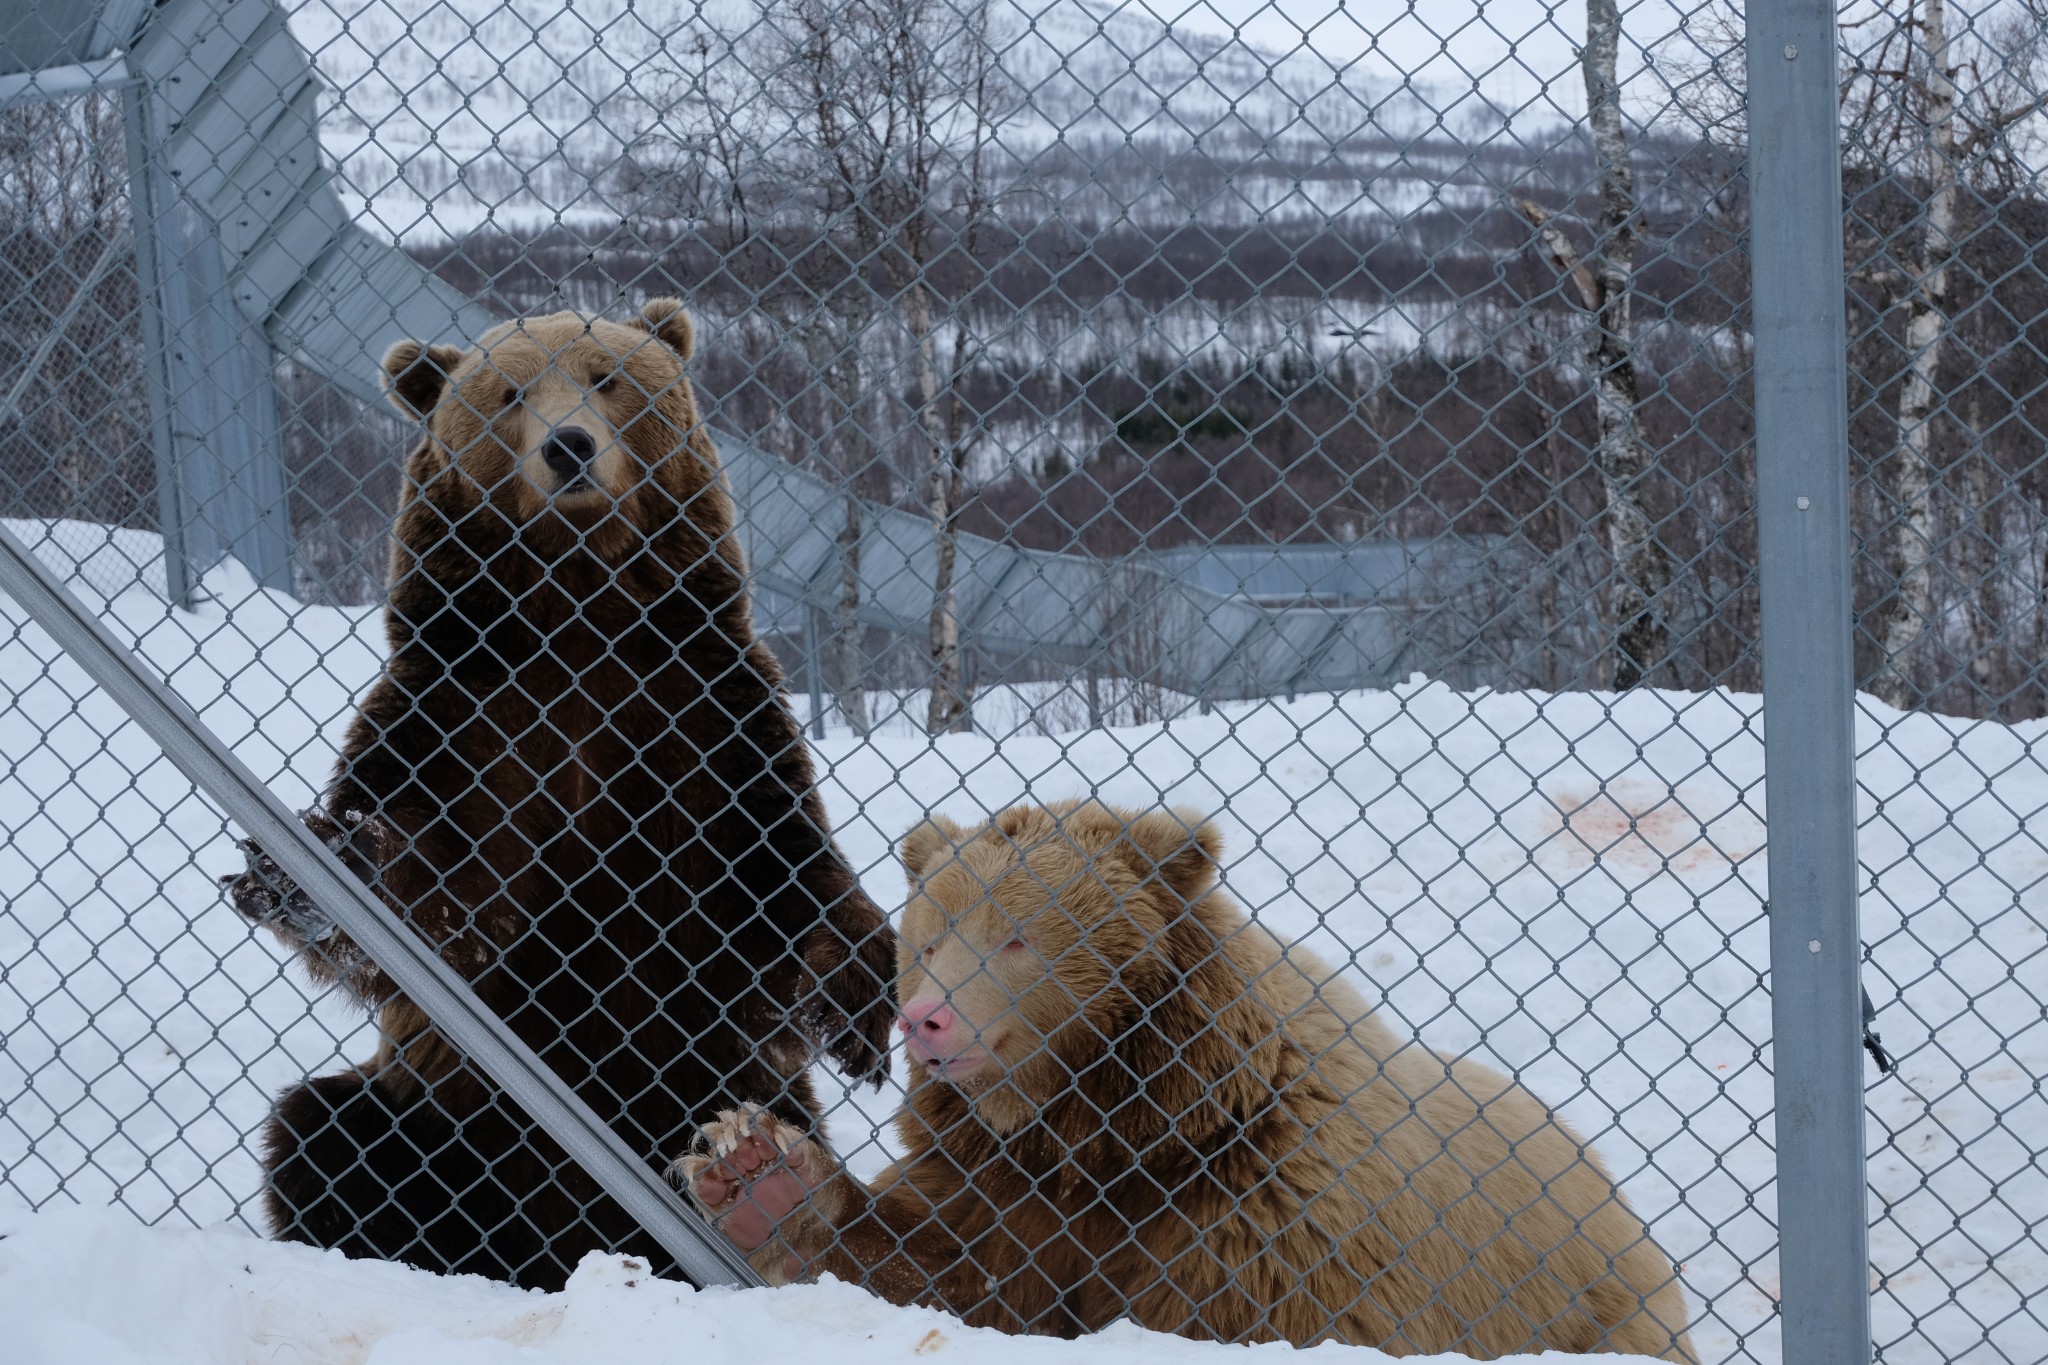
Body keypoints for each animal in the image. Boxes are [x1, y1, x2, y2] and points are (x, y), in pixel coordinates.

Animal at [226, 296, 897, 1293]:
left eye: (604, 378)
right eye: (510, 394)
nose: (568, 445)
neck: (577, 621)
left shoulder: (708, 715)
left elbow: (776, 880)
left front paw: (856, 1007)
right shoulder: (457, 715)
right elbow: (439, 894)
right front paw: (310, 865)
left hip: (716, 1076)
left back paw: (762, 1178)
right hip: (456, 1111)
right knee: (332, 1133)